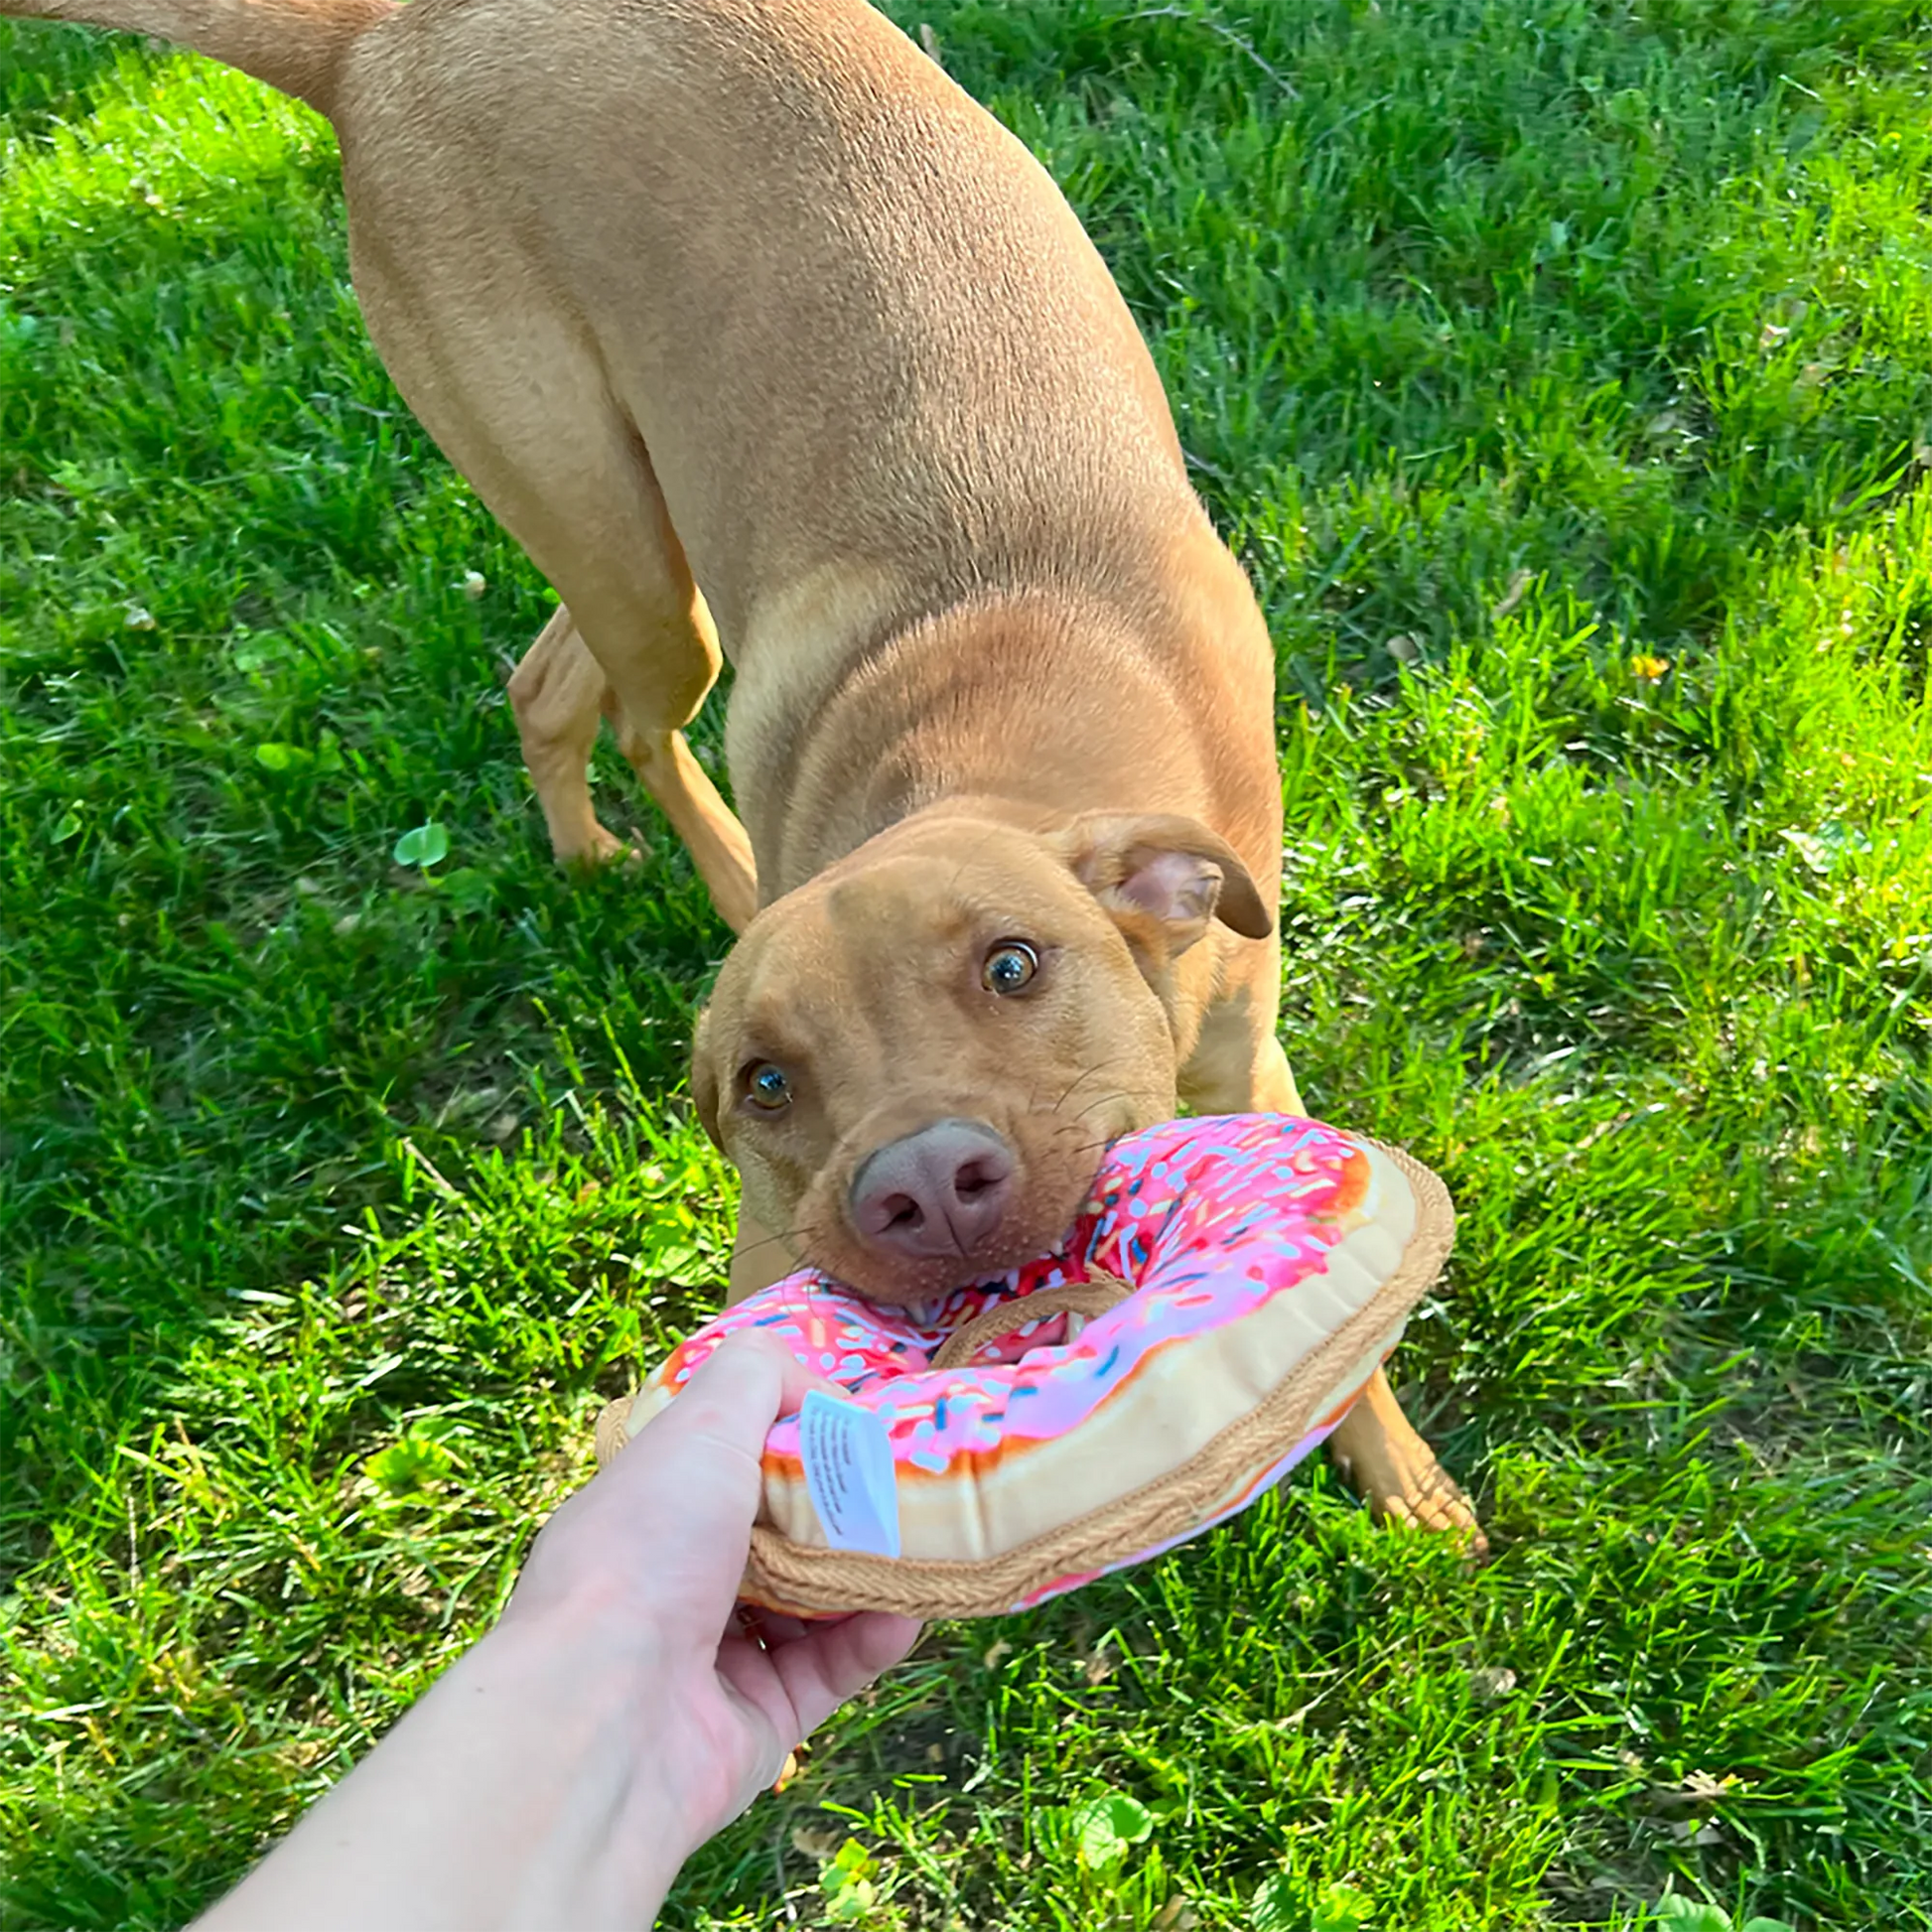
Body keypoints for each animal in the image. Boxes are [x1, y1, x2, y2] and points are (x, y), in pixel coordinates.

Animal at [3, 0, 1475, 1538]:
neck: (997, 696)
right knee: (611, 711)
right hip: (622, 543)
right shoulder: (770, 1229)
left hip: (640, 567)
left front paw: (1400, 1479)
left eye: (1013, 965)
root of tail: (375, 37)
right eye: (761, 1083)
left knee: (549, 682)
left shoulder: (1248, 1056)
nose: (922, 1190)